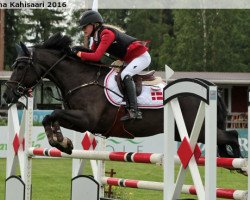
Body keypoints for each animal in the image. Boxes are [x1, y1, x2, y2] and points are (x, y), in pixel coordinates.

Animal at [1, 32, 240, 158]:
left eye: (20, 67)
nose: (7, 96)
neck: (81, 79)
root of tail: (206, 85)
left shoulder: (87, 119)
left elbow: (54, 114)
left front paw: (61, 141)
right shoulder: (80, 121)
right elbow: (51, 117)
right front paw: (61, 141)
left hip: (198, 130)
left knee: (232, 135)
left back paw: (240, 167)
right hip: (184, 133)